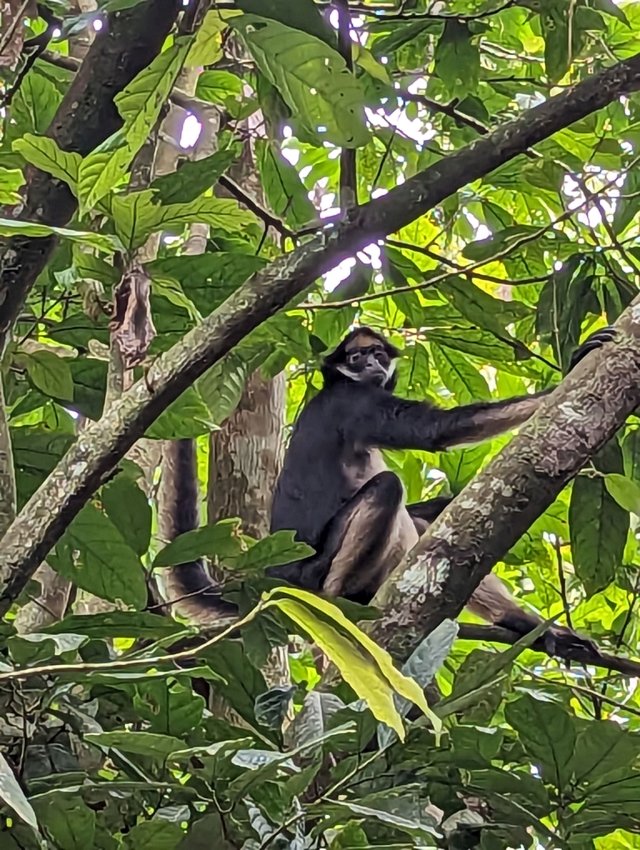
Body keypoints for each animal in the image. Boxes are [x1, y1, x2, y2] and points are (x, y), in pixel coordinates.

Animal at [159, 324, 616, 653]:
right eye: (356, 356)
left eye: (377, 354)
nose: (370, 364)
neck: (340, 384)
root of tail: (278, 576)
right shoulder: (354, 401)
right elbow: (436, 431)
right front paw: (567, 376)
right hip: (316, 568)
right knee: (388, 489)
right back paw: (339, 604)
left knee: (425, 522)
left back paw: (527, 627)